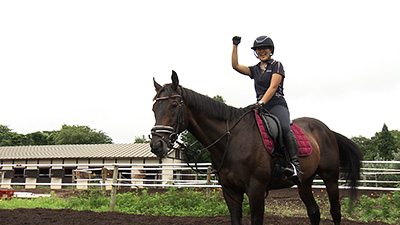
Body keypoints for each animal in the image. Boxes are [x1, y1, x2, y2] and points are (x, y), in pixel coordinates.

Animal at [149, 71, 362, 225]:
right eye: (153, 109)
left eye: (174, 105)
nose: (157, 144)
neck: (232, 139)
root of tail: (326, 130)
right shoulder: (231, 191)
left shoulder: (256, 190)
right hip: (304, 181)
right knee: (314, 212)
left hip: (330, 177)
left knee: (335, 211)